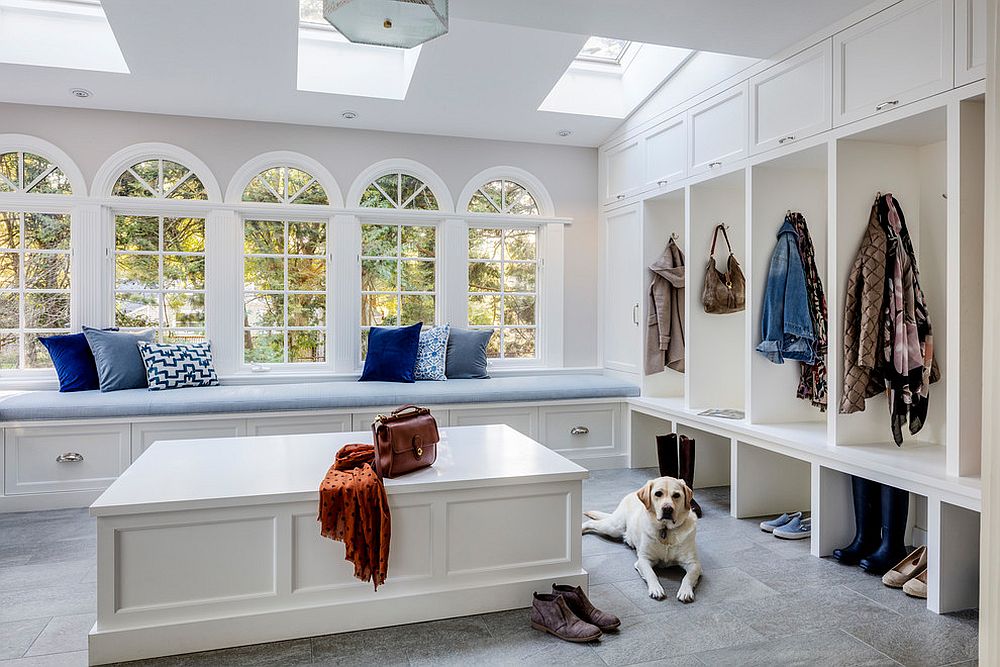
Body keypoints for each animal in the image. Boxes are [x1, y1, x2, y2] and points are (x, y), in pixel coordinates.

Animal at [584, 474, 700, 604]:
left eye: (676, 495)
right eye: (658, 494)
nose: (667, 509)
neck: (666, 530)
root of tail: (632, 493)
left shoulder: (694, 563)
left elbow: (688, 577)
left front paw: (685, 591)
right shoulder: (644, 559)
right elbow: (651, 574)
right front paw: (656, 589)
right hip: (614, 527)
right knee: (590, 522)